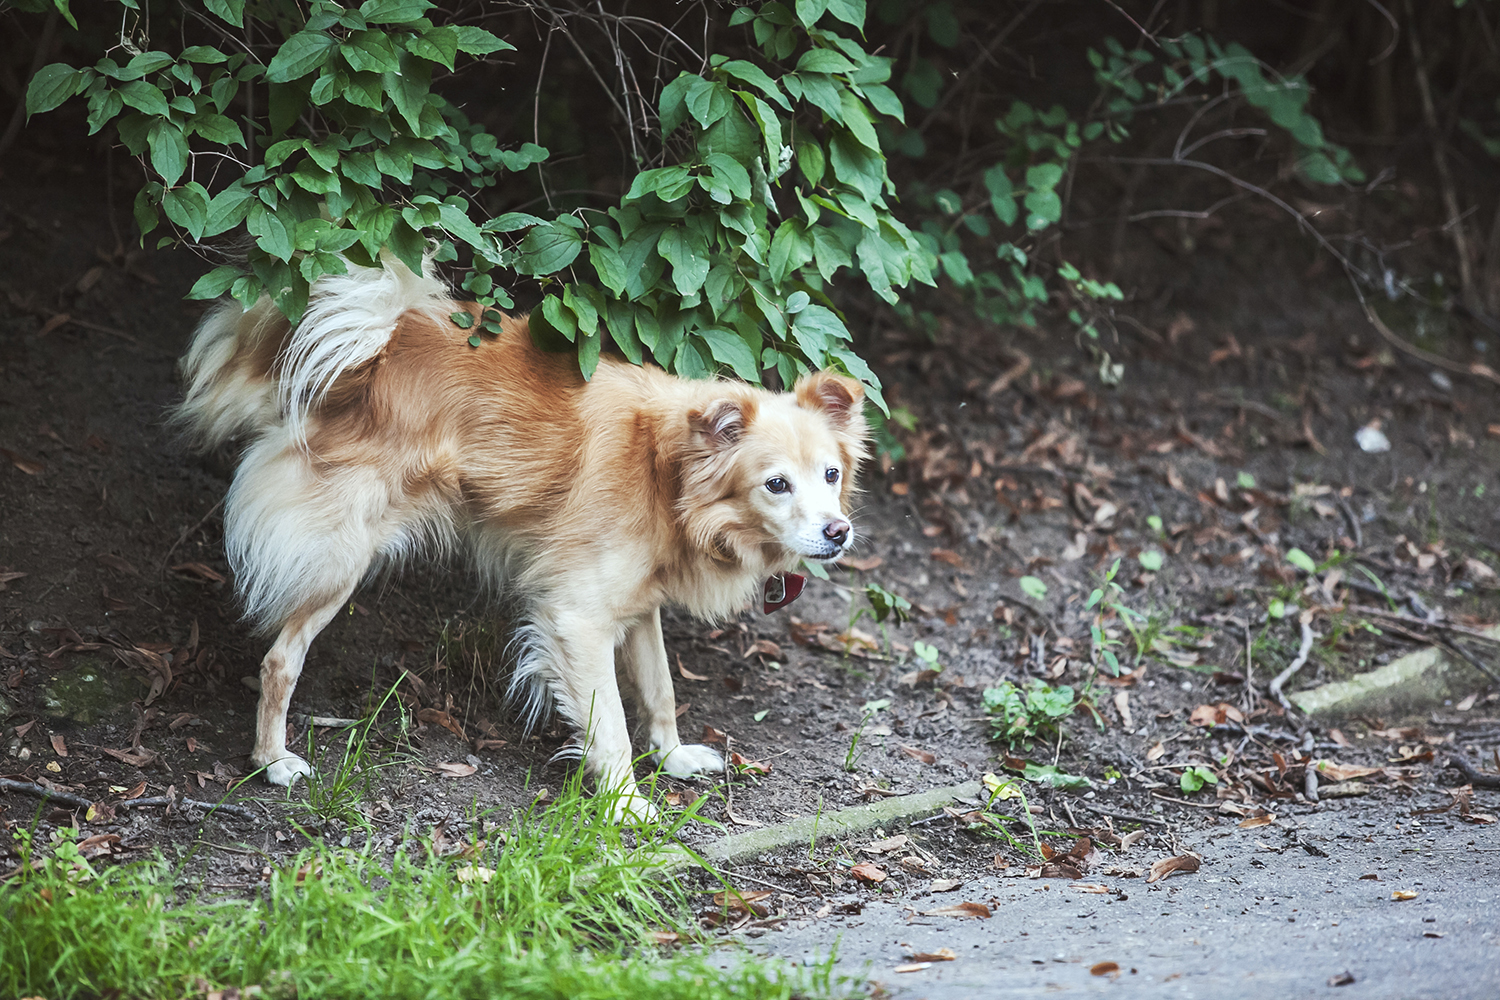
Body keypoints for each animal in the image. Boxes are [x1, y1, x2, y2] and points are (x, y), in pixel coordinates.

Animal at [174, 260, 870, 821]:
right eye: (776, 484)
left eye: (831, 475)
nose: (838, 532)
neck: (666, 471)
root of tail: (379, 347)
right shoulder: (577, 617)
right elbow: (611, 723)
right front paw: (626, 805)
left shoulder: (638, 603)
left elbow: (659, 688)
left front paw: (672, 758)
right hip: (339, 558)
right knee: (279, 660)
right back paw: (272, 761)